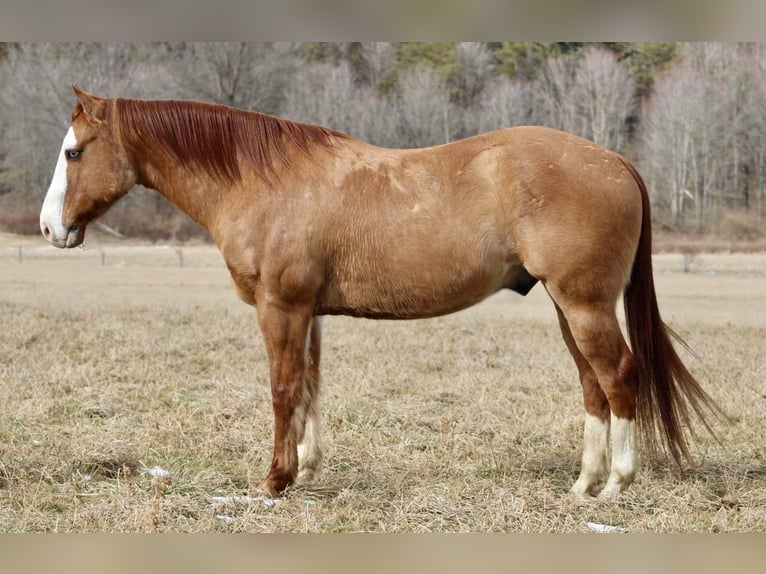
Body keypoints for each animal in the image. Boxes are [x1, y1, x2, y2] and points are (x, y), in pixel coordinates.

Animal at [39, 85, 724, 500]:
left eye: (73, 152)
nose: (50, 228)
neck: (265, 181)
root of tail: (616, 162)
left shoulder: (280, 308)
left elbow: (282, 388)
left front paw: (275, 481)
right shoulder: (309, 312)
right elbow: (310, 386)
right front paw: (306, 468)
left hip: (584, 305)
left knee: (620, 377)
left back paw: (615, 485)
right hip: (569, 308)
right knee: (593, 385)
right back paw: (583, 484)